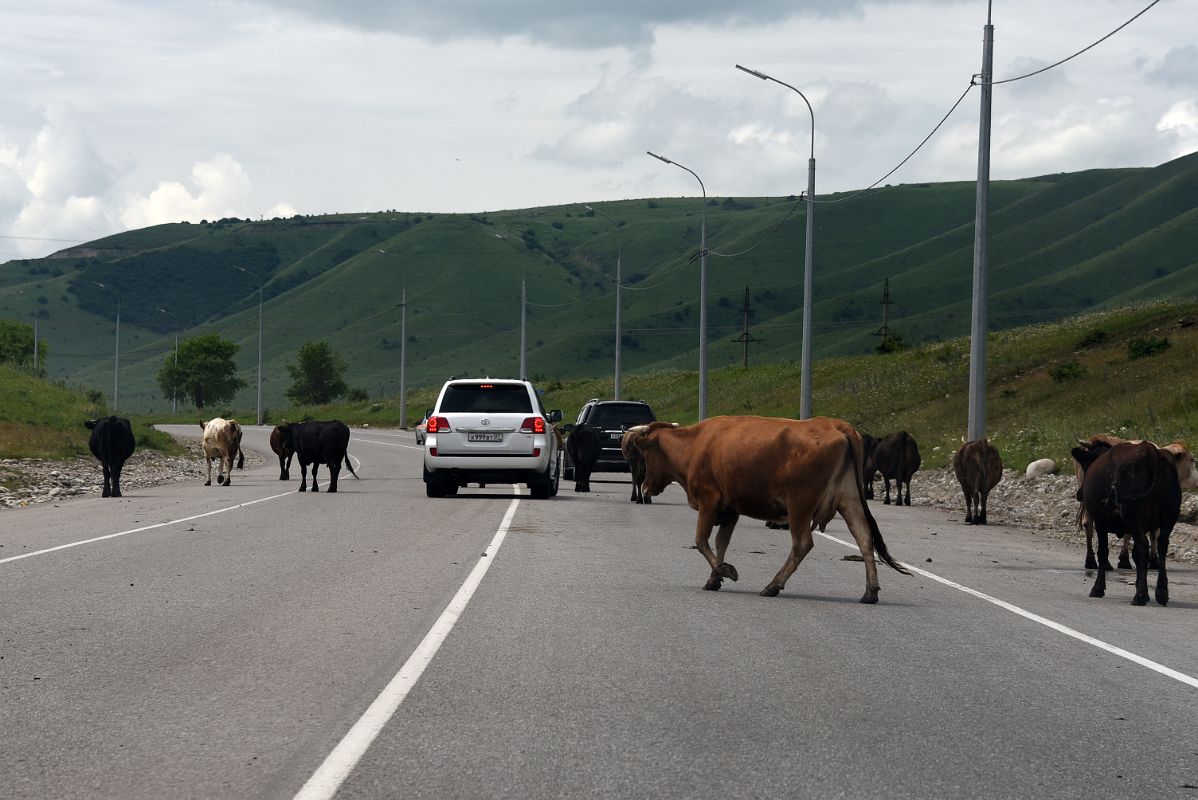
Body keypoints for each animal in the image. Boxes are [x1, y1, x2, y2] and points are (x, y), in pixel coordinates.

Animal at [632, 416, 900, 603]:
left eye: (646, 453)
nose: (644, 487)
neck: (696, 444)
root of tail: (836, 425)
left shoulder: (709, 501)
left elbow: (701, 541)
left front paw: (725, 570)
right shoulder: (730, 509)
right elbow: (721, 542)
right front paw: (715, 577)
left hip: (800, 504)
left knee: (802, 544)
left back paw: (773, 586)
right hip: (849, 499)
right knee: (864, 538)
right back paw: (870, 592)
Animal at [1078, 438, 1178, 605]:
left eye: (1085, 465)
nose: (1079, 495)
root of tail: (1149, 451)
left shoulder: (1100, 521)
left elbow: (1103, 552)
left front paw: (1097, 588)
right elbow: (1136, 555)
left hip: (1133, 515)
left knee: (1143, 544)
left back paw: (1140, 596)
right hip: (1169, 517)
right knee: (1162, 545)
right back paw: (1161, 593)